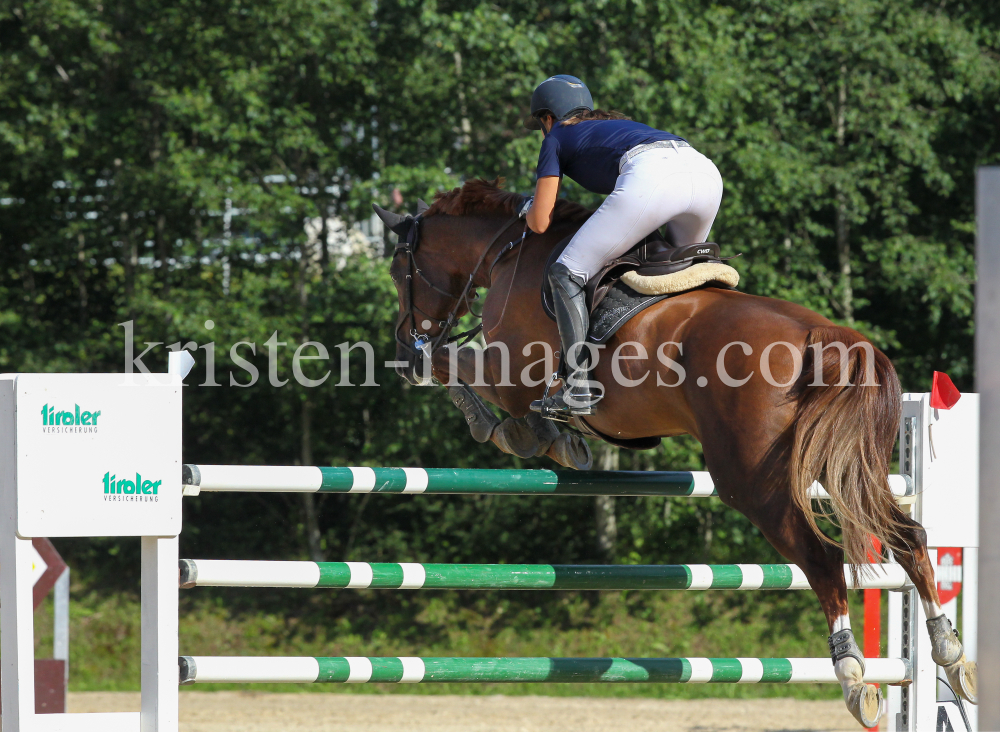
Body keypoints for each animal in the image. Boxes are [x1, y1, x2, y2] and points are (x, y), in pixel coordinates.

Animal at [372, 179, 972, 728]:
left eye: (400, 271)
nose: (402, 342)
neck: (508, 253)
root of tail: (822, 335)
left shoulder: (510, 373)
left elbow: (452, 364)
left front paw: (509, 428)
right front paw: (554, 438)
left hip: (751, 483)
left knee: (823, 558)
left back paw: (853, 678)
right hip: (843, 466)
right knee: (908, 537)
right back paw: (950, 653)